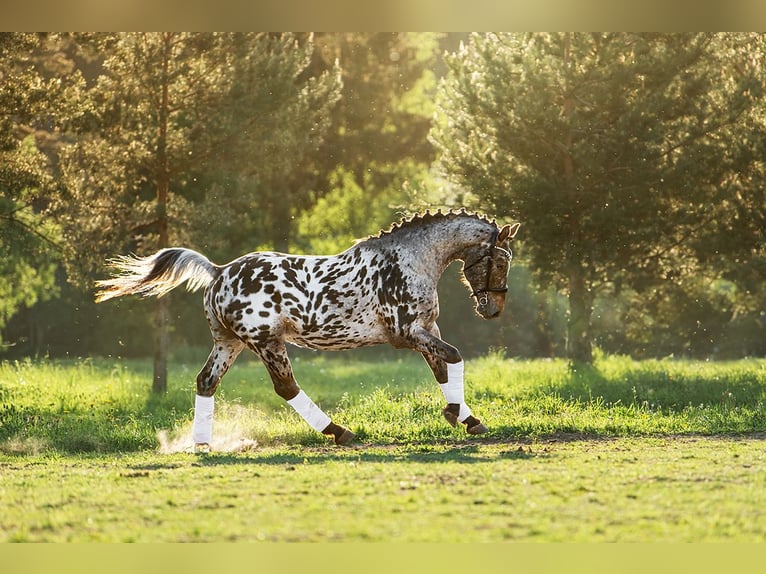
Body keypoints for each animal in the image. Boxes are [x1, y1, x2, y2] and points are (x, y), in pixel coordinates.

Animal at [96, 210, 520, 450]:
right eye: (501, 260)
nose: (494, 309)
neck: (411, 260)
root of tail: (219, 272)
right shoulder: (408, 333)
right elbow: (454, 358)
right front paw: (457, 414)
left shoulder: (426, 327)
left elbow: (443, 369)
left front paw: (466, 418)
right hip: (266, 341)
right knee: (286, 387)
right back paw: (339, 431)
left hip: (229, 343)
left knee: (206, 382)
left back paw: (201, 444)